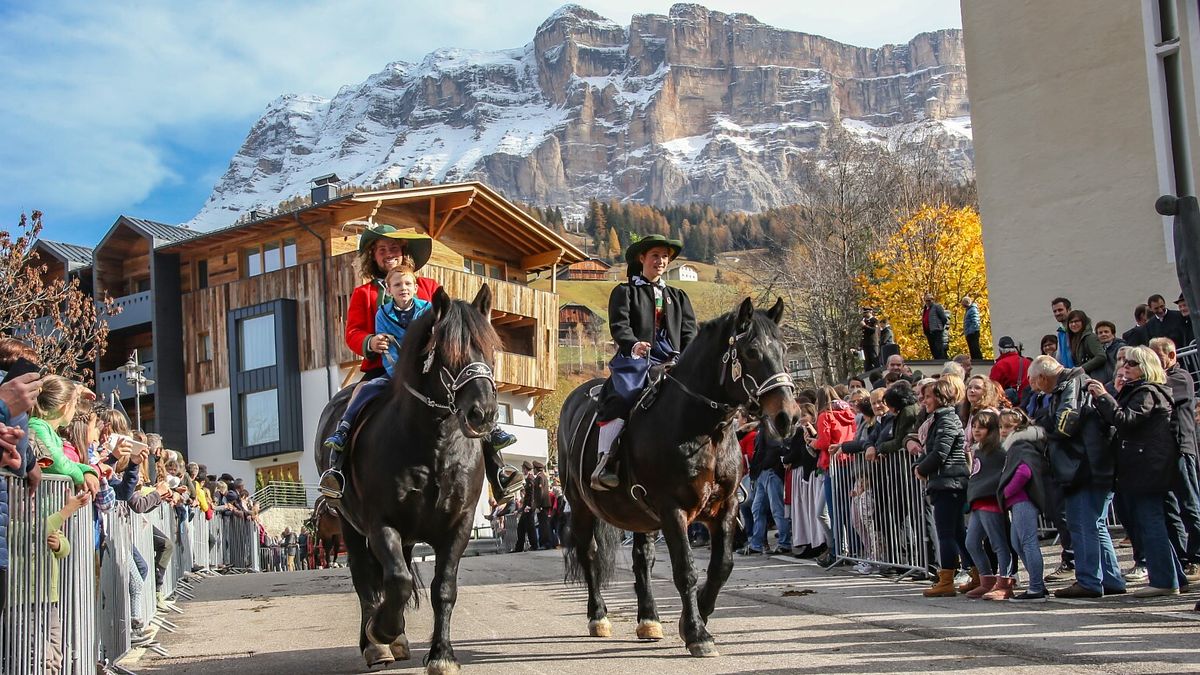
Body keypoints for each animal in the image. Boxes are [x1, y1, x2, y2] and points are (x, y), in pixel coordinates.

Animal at [316, 284, 499, 672]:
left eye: (490, 348)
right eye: (447, 351)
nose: (484, 414)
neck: (434, 448)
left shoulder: (459, 525)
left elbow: (443, 588)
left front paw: (442, 654)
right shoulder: (379, 523)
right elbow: (396, 580)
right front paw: (382, 631)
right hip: (350, 527)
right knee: (366, 580)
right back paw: (377, 644)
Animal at [559, 296, 801, 653]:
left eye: (783, 350)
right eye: (751, 351)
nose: (788, 418)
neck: (705, 430)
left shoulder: (725, 507)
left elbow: (721, 567)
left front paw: (697, 616)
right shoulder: (672, 509)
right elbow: (685, 569)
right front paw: (697, 633)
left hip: (641, 516)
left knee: (642, 559)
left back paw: (649, 619)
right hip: (580, 507)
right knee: (589, 554)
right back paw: (599, 617)